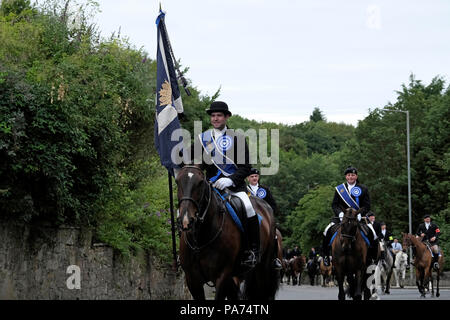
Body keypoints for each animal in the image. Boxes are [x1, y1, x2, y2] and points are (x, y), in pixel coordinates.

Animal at [175, 165, 278, 300]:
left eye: (200, 182)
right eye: (177, 181)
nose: (186, 220)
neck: (201, 238)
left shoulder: (222, 276)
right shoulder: (192, 279)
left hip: (263, 268)